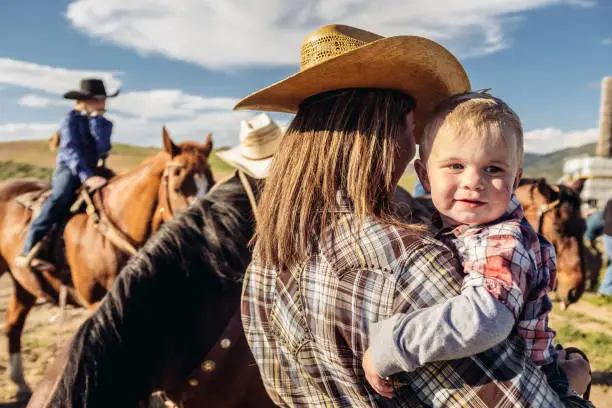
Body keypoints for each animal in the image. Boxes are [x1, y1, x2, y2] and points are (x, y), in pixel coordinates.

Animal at [0, 127, 215, 398]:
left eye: (212, 181)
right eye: (178, 186)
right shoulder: (97, 303)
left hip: (25, 284)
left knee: (13, 323)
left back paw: (20, 383)